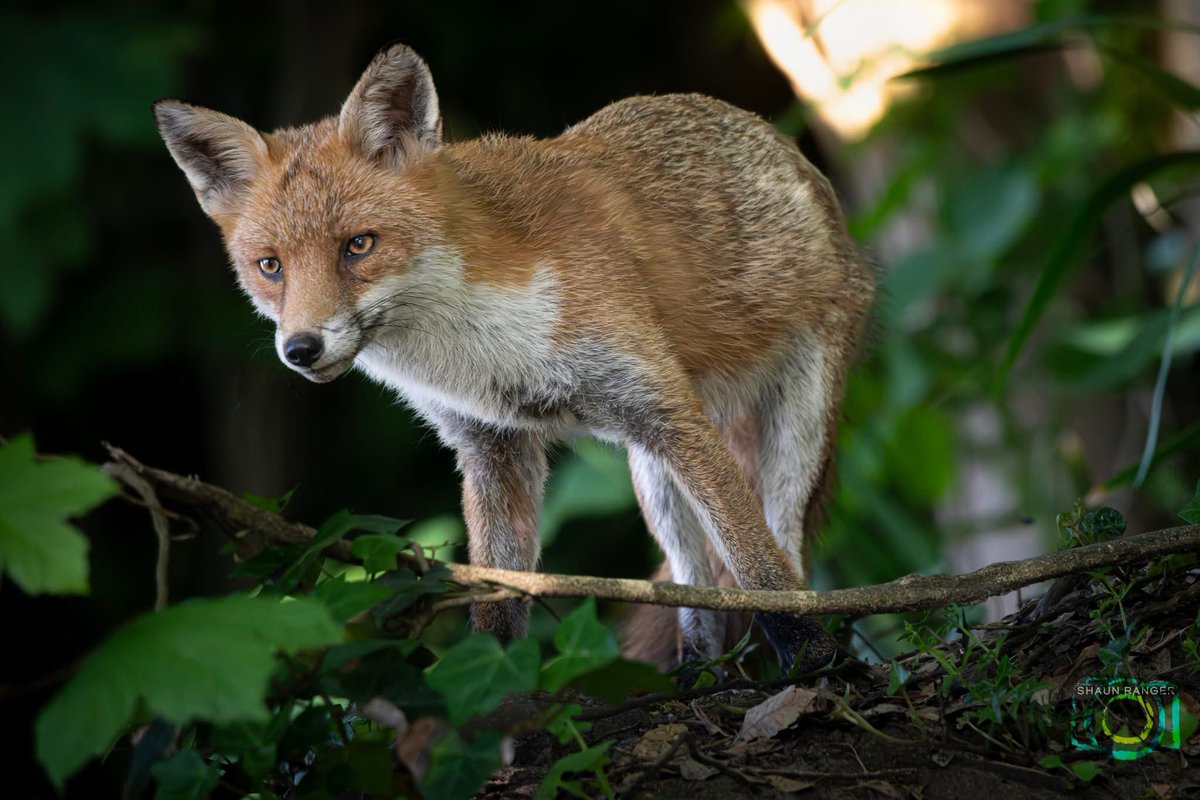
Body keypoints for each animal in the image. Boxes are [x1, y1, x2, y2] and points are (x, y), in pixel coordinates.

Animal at [153, 43, 875, 675]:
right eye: (269, 266)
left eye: (358, 245)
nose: (300, 349)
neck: (478, 353)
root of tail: (775, 138)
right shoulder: (491, 446)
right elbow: (497, 603)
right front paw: (493, 711)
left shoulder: (666, 410)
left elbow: (757, 567)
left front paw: (816, 662)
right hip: (650, 476)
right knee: (691, 578)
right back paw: (701, 670)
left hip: (787, 431)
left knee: (781, 546)